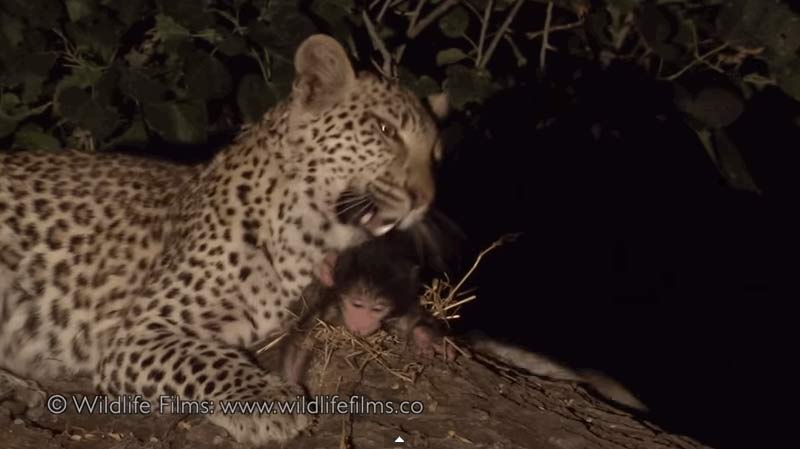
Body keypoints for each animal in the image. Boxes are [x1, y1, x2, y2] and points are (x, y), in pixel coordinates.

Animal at [0, 34, 447, 445]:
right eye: (386, 130)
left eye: (437, 155)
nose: (424, 199)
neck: (308, 237)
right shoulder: (138, 333)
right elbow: (206, 361)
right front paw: (269, 401)